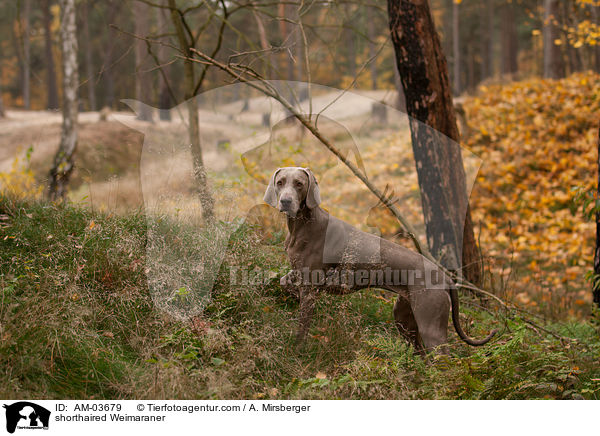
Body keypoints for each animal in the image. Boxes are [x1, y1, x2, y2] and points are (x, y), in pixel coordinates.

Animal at [264, 165, 496, 352]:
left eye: (299, 184)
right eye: (280, 182)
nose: (285, 201)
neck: (302, 225)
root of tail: (445, 277)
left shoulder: (310, 288)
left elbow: (302, 326)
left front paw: (296, 348)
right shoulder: (300, 274)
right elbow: (284, 281)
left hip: (431, 326)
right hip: (404, 318)